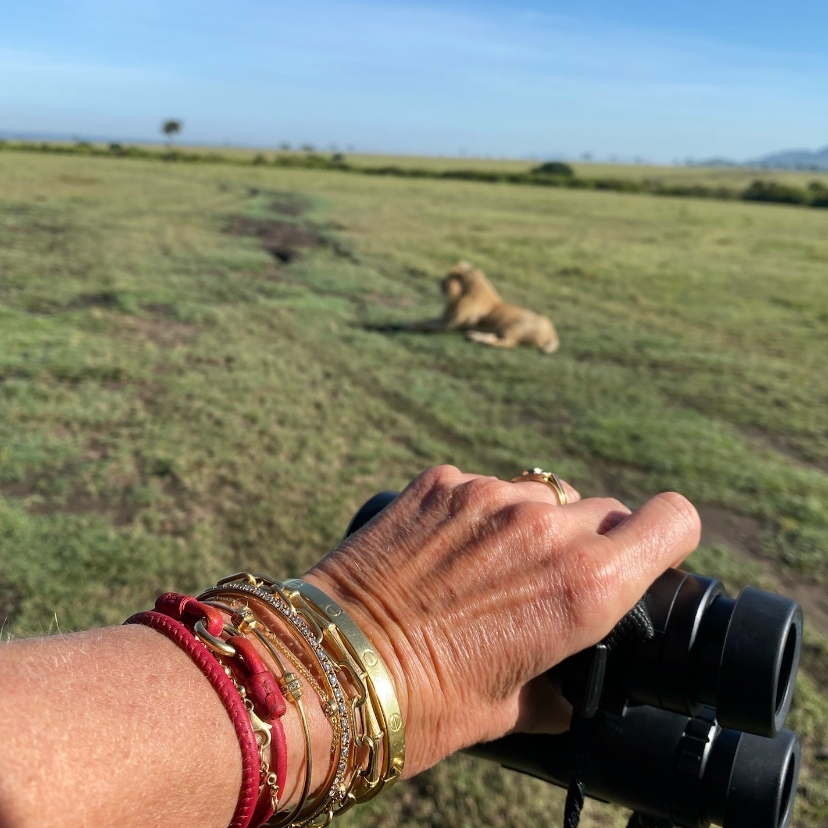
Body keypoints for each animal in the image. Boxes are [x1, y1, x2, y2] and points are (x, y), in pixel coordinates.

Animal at [414, 258, 564, 350]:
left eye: (449, 276)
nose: (440, 282)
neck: (463, 296)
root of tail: (553, 332)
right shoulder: (446, 318)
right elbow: (424, 321)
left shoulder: (449, 325)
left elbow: (424, 325)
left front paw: (409, 326)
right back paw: (474, 336)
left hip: (516, 328)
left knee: (509, 343)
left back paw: (479, 340)